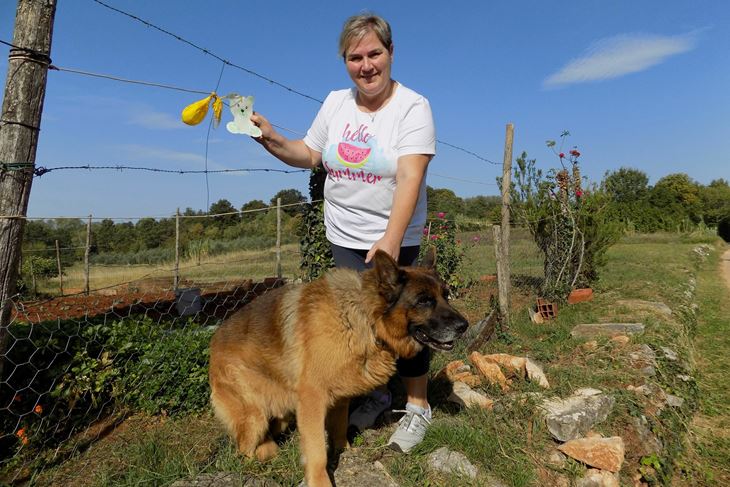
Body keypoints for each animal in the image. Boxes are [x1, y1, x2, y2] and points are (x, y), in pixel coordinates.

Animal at [208, 252, 466, 487]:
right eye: (424, 301)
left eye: (446, 295)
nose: (464, 326)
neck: (364, 319)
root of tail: (214, 342)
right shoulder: (312, 401)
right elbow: (317, 451)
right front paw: (320, 480)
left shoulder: (340, 398)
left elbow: (340, 428)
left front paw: (346, 452)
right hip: (255, 416)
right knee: (244, 450)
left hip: (281, 413)